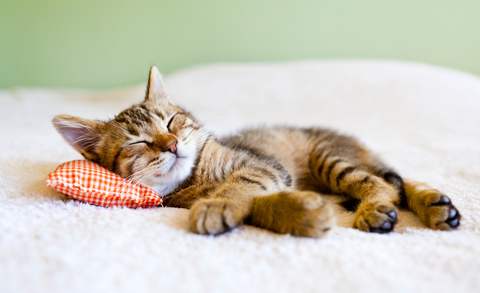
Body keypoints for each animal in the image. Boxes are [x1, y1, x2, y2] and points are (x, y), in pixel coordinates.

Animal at [52, 66, 462, 237]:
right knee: (393, 180)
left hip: (330, 159)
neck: (197, 178)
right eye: (137, 142)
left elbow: (242, 185)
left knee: (387, 183)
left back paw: (381, 208)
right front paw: (300, 214)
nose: (171, 145)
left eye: (171, 121)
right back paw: (436, 206)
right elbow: (259, 204)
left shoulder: (262, 164)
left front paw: (218, 204)